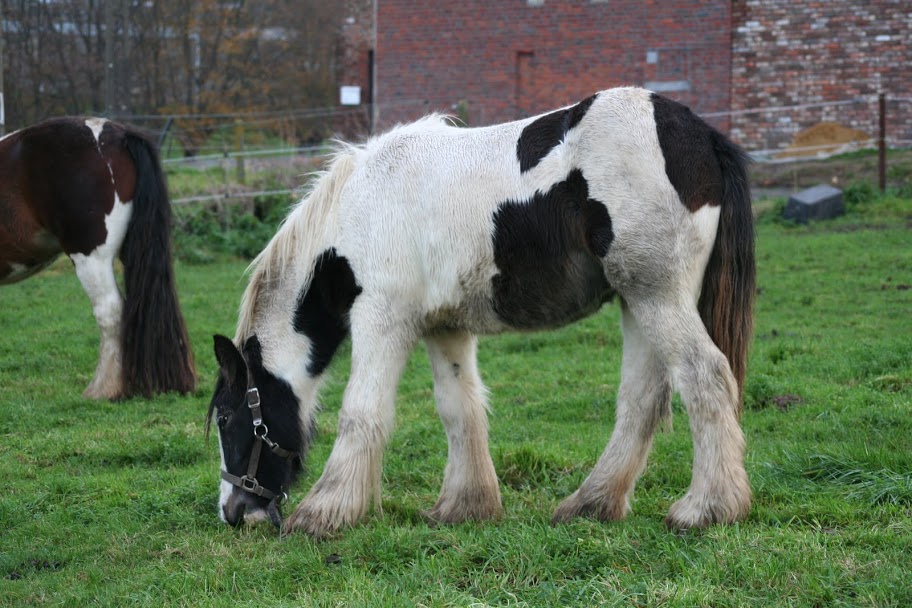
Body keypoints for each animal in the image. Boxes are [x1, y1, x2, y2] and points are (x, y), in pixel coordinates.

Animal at [208, 88, 756, 536]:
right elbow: (460, 408)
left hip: (656, 296)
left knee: (706, 377)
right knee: (643, 400)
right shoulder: (444, 327)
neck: (357, 210)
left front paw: (324, 512)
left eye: (228, 418)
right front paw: (465, 506)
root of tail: (702, 136)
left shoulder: (381, 319)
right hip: (636, 302)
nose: (234, 511)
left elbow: (361, 413)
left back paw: (706, 509)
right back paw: (591, 505)